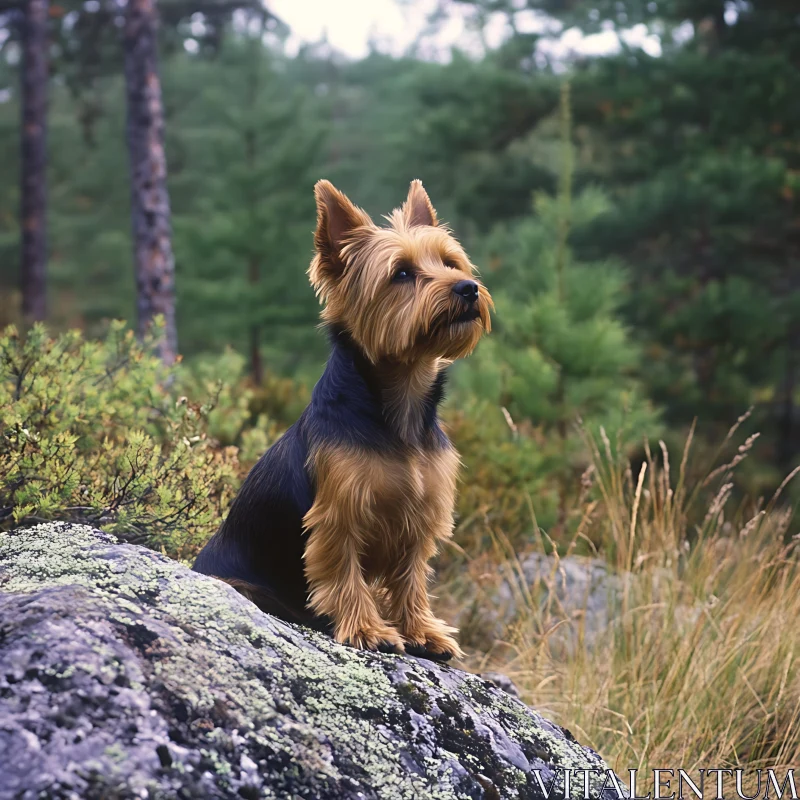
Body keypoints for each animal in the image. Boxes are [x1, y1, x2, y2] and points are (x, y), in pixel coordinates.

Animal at [195, 181, 494, 664]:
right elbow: (343, 574)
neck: (401, 402)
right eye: (402, 274)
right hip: (244, 587)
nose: (468, 288)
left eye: (450, 263)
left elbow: (411, 578)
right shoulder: (340, 514)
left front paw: (421, 631)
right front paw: (369, 630)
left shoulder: (421, 516)